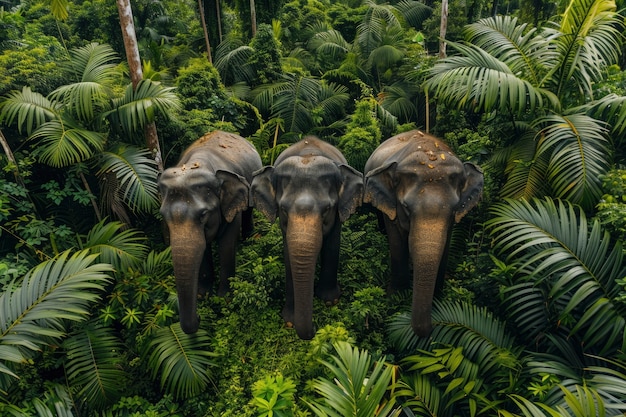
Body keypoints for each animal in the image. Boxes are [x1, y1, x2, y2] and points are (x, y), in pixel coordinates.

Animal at [158, 132, 264, 334]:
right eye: (163, 216)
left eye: (203, 215)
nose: (199, 317)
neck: (198, 164)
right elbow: (204, 247)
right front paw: (204, 294)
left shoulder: (230, 206)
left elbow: (227, 244)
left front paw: (224, 297)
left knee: (248, 210)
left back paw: (249, 239)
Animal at [251, 136, 364, 338]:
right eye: (283, 209)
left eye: (327, 209)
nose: (315, 327)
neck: (307, 156)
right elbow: (289, 257)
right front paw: (290, 321)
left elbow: (332, 245)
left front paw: (330, 302)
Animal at [360, 131, 482, 338]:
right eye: (406, 207)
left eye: (454, 209)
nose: (432, 328)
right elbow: (396, 241)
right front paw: (397, 296)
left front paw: (438, 299)